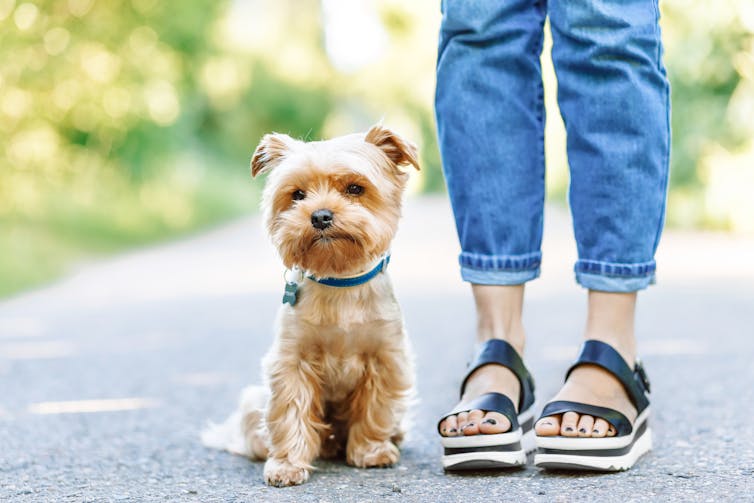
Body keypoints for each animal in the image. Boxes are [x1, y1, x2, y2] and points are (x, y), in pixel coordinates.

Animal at [201, 125, 418, 488]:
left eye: (355, 188)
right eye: (298, 195)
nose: (320, 215)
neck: (340, 280)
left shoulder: (385, 357)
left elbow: (375, 407)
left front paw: (371, 451)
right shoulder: (292, 361)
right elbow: (290, 410)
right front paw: (286, 465)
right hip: (253, 401)